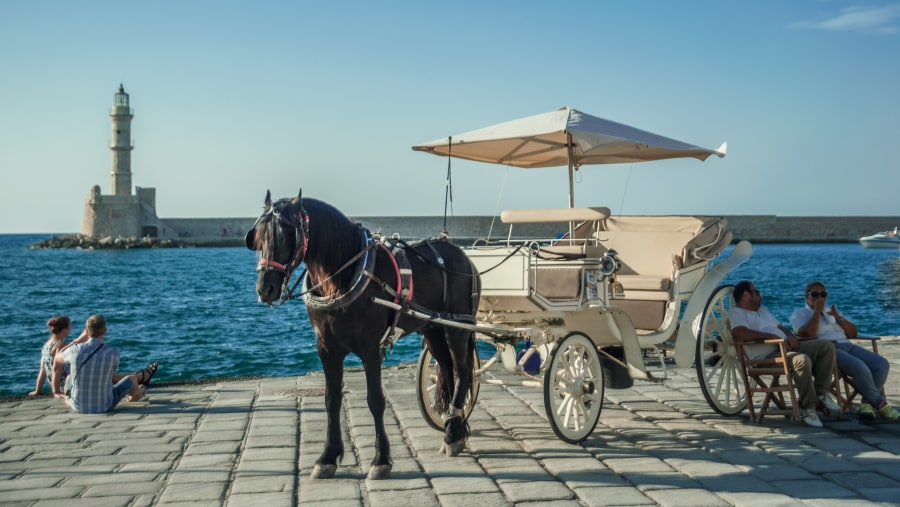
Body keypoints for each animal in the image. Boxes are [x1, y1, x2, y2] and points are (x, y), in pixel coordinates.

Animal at [246, 190, 482, 480]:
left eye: (287, 234)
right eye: (259, 236)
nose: (265, 288)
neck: (342, 278)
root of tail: (461, 253)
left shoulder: (371, 349)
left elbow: (375, 400)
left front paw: (380, 460)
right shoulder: (326, 349)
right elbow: (331, 399)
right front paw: (327, 457)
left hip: (457, 327)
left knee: (463, 370)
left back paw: (452, 434)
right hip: (432, 328)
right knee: (447, 368)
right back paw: (451, 424)